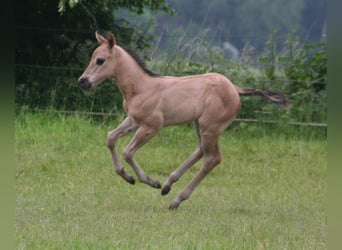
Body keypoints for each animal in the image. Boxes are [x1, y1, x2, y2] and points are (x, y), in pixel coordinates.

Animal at [78, 31, 288, 209]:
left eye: (100, 60)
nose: (82, 82)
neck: (141, 87)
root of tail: (235, 89)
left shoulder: (151, 126)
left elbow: (128, 152)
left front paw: (150, 181)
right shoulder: (133, 120)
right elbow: (110, 138)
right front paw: (128, 177)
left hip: (210, 127)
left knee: (212, 159)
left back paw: (176, 199)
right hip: (200, 125)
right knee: (201, 151)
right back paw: (168, 185)